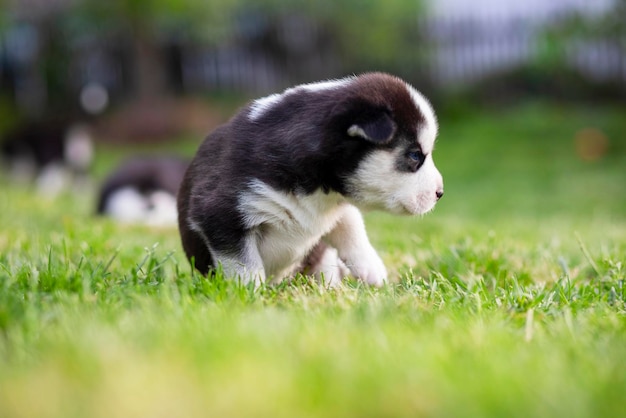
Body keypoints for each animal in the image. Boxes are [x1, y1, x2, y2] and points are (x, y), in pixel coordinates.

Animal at [176, 72, 442, 288]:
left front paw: (372, 268)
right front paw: (251, 295)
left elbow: (351, 226)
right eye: (415, 155)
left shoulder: (336, 205)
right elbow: (244, 265)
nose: (440, 193)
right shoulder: (221, 213)